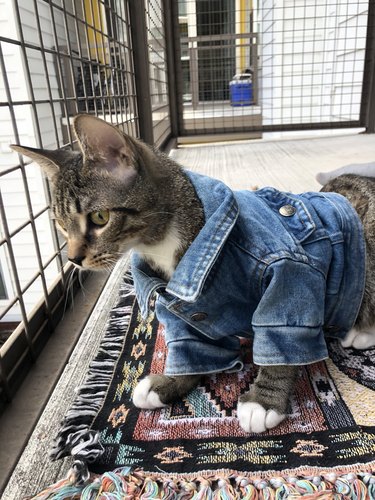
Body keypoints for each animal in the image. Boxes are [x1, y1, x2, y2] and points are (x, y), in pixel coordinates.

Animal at [10, 115, 375, 436]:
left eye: (100, 218)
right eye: (61, 224)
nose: (73, 258)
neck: (164, 244)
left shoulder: (289, 270)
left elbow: (283, 331)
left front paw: (264, 401)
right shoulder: (176, 301)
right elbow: (188, 345)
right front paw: (168, 383)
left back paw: (360, 330)